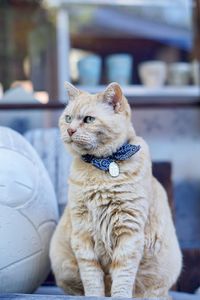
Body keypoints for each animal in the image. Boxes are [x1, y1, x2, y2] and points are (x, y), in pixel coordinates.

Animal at [49, 82, 182, 298]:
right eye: (68, 118)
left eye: (88, 119)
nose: (69, 130)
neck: (103, 164)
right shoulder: (82, 231)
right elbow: (91, 276)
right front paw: (94, 295)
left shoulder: (129, 230)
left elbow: (122, 275)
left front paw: (119, 295)